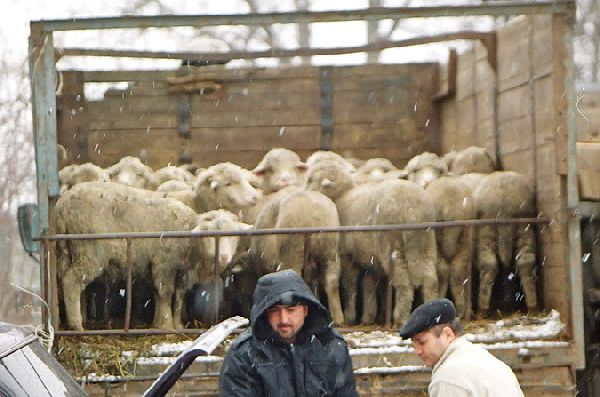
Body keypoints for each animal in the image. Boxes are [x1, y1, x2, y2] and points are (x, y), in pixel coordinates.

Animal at [56, 181, 251, 330]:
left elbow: (175, 295)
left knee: (64, 279)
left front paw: (173, 324)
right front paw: (166, 325)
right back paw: (76, 325)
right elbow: (165, 292)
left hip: (68, 251)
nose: (224, 257)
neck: (190, 241)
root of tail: (62, 206)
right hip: (91, 251)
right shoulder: (164, 263)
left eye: (234, 236)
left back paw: (75, 317)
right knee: (72, 281)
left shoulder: (175, 269)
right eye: (210, 235)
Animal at [308, 159, 438, 326]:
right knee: (430, 278)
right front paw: (368, 317)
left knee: (404, 283)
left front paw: (350, 316)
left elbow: (350, 284)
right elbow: (369, 285)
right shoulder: (368, 258)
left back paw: (400, 318)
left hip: (391, 246)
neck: (340, 195)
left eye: (310, 179)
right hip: (428, 242)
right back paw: (432, 308)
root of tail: (414, 210)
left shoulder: (346, 255)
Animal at [476, 172, 536, 314]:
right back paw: (532, 308)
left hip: (487, 228)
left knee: (488, 263)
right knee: (525, 262)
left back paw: (482, 311)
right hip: (524, 226)